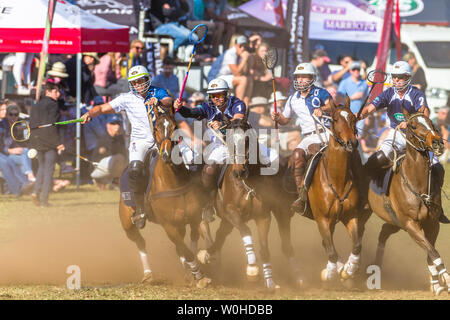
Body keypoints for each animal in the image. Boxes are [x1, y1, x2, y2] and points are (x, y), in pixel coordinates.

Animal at [118, 105, 213, 288]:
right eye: (156, 128)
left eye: (175, 127)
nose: (167, 154)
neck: (174, 181)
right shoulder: (168, 225)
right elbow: (185, 250)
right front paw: (199, 275)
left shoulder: (194, 216)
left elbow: (199, 237)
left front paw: (201, 260)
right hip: (127, 223)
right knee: (140, 242)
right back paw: (148, 274)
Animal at [195, 109, 304, 290]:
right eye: (228, 139)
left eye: (247, 140)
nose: (238, 172)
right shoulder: (232, 212)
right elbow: (246, 232)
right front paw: (252, 270)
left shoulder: (263, 216)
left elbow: (264, 248)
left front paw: (270, 282)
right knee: (209, 228)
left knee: (221, 235)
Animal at [308, 99, 370, 282]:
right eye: (335, 119)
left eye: (353, 118)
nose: (352, 143)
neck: (337, 180)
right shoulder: (322, 218)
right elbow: (331, 251)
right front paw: (330, 273)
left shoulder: (351, 216)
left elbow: (357, 245)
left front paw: (349, 270)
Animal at [370, 108, 450, 296]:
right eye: (412, 125)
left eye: (431, 122)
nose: (437, 142)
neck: (418, 183)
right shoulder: (410, 224)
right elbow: (433, 252)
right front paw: (446, 280)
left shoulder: (432, 223)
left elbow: (430, 251)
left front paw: (436, 284)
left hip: (394, 222)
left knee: (383, 233)